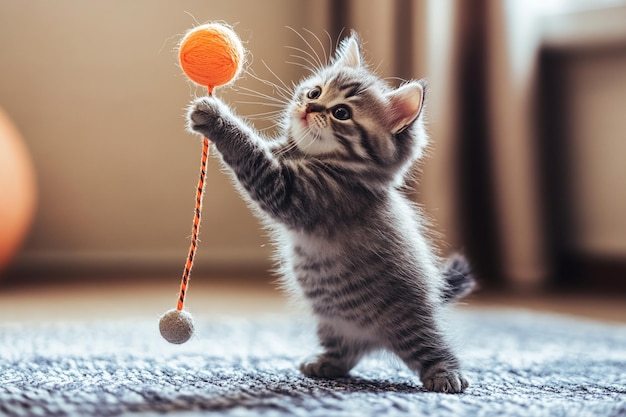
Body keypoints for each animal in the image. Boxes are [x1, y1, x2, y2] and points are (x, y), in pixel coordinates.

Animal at [185, 33, 472, 394]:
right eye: (315, 92)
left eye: (341, 112)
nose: (309, 107)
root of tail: (374, 341)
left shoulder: (292, 191)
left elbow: (250, 151)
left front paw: (216, 117)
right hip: (332, 324)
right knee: (347, 354)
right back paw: (326, 364)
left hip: (410, 322)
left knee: (432, 345)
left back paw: (447, 375)